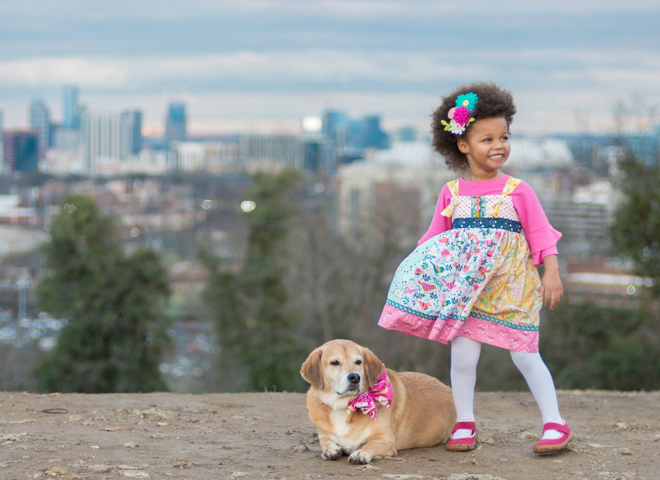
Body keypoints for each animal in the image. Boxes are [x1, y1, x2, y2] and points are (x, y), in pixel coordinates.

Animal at [302, 340, 456, 464]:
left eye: (358, 362)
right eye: (334, 362)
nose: (354, 377)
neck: (345, 406)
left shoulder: (385, 439)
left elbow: (371, 445)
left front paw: (361, 453)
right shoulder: (323, 435)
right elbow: (324, 442)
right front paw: (330, 450)